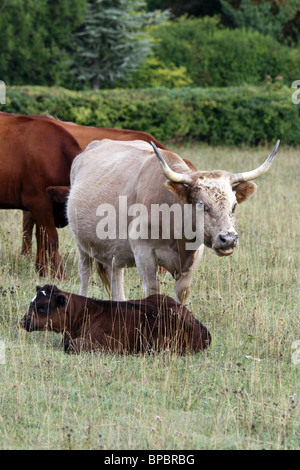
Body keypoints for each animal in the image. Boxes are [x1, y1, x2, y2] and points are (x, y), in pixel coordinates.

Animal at [0, 112, 81, 278]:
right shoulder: (39, 202)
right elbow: (51, 239)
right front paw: (60, 276)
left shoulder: (39, 208)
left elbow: (41, 238)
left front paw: (42, 271)